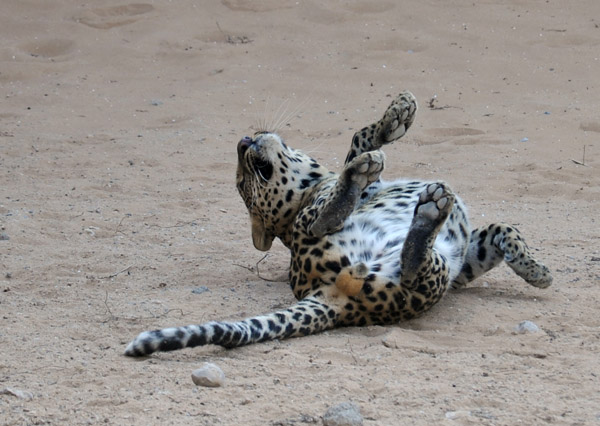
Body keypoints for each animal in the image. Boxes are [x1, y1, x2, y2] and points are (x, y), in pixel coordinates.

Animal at [123, 90, 552, 356]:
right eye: (242, 181)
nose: (243, 141)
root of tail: (333, 298)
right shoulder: (358, 188)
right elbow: (360, 140)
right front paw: (397, 115)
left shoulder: (463, 264)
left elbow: (504, 230)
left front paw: (537, 272)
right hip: (347, 255)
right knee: (330, 225)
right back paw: (420, 203)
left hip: (433, 276)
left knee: (415, 263)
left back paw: (429, 211)